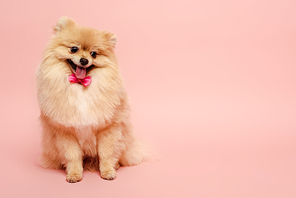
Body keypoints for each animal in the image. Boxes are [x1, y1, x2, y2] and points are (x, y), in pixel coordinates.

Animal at [35, 17, 149, 183]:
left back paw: (116, 165)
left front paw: (108, 171)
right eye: (73, 49)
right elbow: (73, 155)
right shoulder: (65, 131)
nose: (84, 60)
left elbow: (106, 153)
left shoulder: (109, 128)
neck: (80, 84)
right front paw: (74, 174)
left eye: (94, 54)